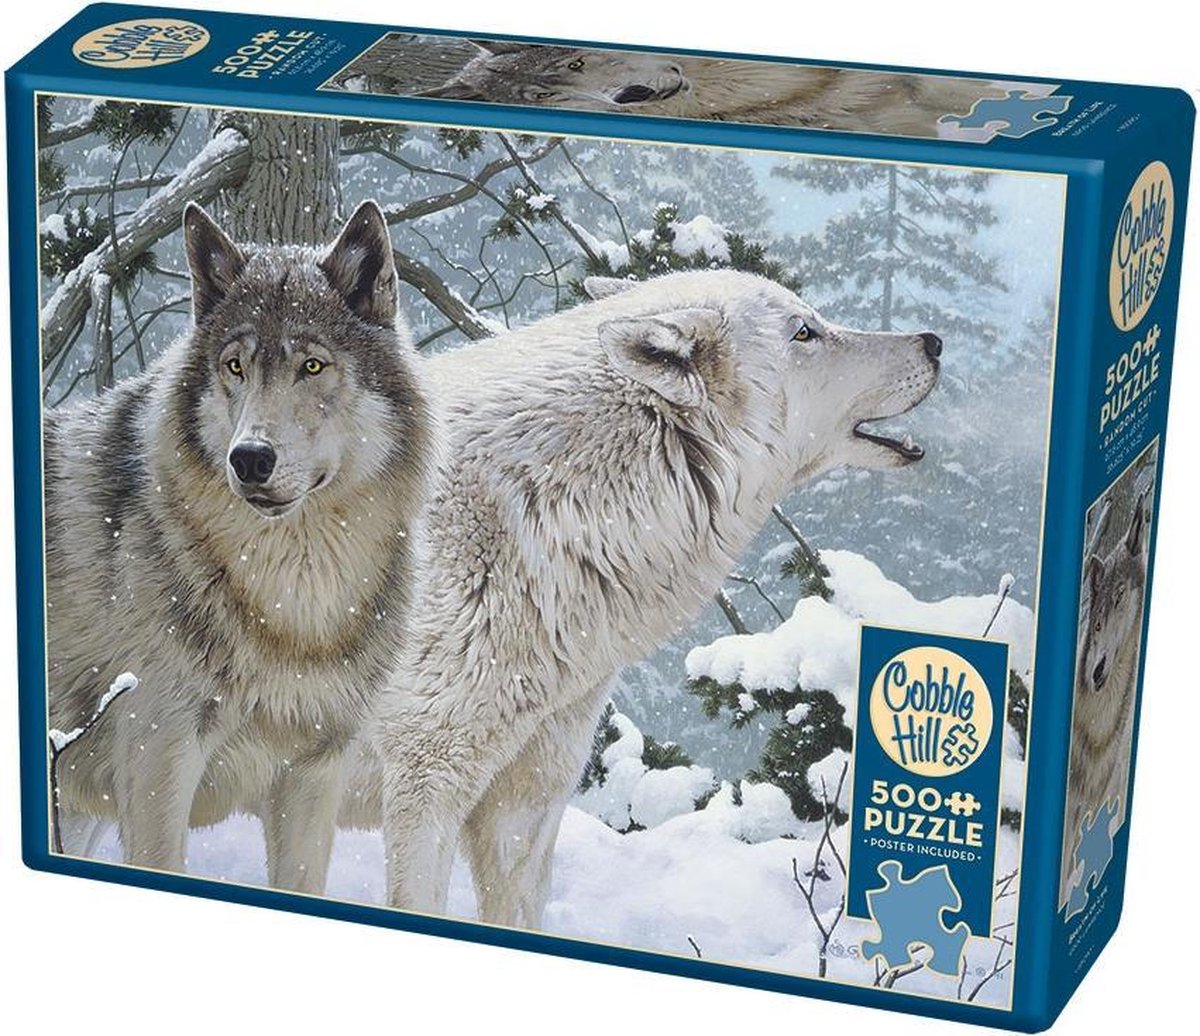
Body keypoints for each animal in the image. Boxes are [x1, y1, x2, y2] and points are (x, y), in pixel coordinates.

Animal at [45, 200, 434, 894]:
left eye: (312, 366)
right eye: (235, 367)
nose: (250, 458)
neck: (294, 603)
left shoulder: (315, 771)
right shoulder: (159, 761)